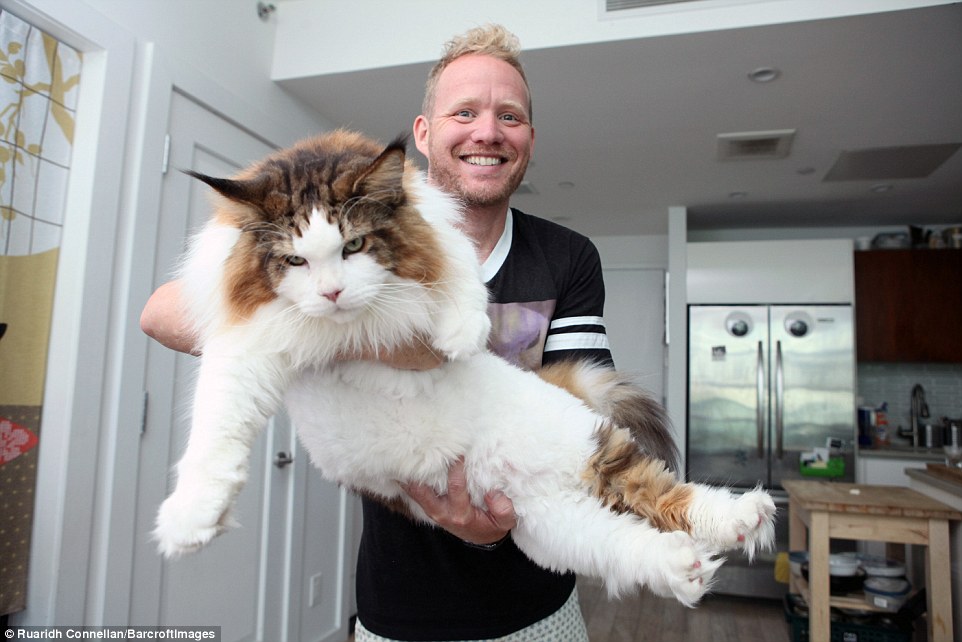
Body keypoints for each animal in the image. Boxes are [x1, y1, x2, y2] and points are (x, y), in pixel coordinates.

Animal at [156, 131, 772, 604]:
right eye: (294, 260)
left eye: (354, 246)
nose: (331, 293)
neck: (343, 331)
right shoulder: (244, 351)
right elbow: (215, 429)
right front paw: (192, 518)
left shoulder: (439, 238)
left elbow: (457, 275)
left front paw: (457, 332)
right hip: (554, 528)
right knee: (631, 540)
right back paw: (684, 569)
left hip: (590, 448)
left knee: (668, 493)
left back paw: (745, 515)